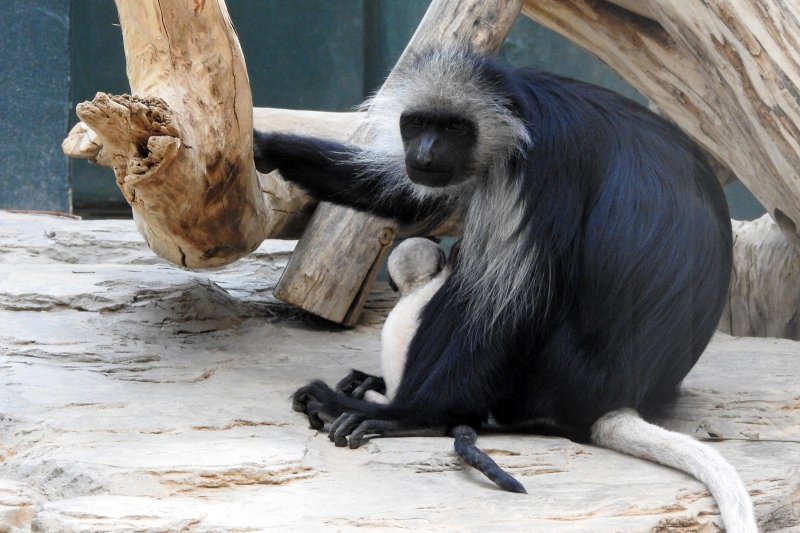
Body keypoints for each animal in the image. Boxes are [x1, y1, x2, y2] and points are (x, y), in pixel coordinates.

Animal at [256, 47, 756, 528]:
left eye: (455, 128)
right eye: (416, 124)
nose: (425, 154)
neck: (521, 118)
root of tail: (616, 399)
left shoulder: (542, 169)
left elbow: (512, 307)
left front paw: (410, 416)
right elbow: (403, 194)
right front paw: (267, 146)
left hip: (552, 374)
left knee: (476, 295)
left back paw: (410, 410)